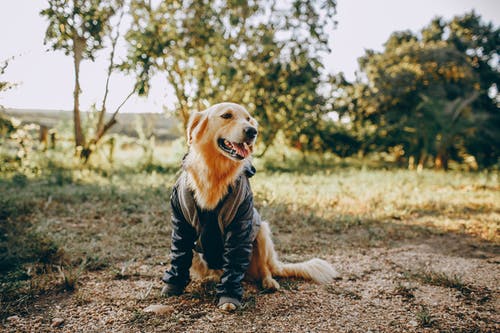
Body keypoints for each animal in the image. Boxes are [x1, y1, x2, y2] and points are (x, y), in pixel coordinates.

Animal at [162, 102, 338, 310]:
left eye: (248, 119)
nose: (252, 131)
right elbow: (179, 256)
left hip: (261, 231)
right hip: (199, 256)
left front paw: (229, 297)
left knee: (263, 269)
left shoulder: (241, 222)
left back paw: (268, 282)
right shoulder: (181, 223)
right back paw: (211, 279)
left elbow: (233, 265)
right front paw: (173, 285)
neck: (215, 172)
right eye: (226, 116)